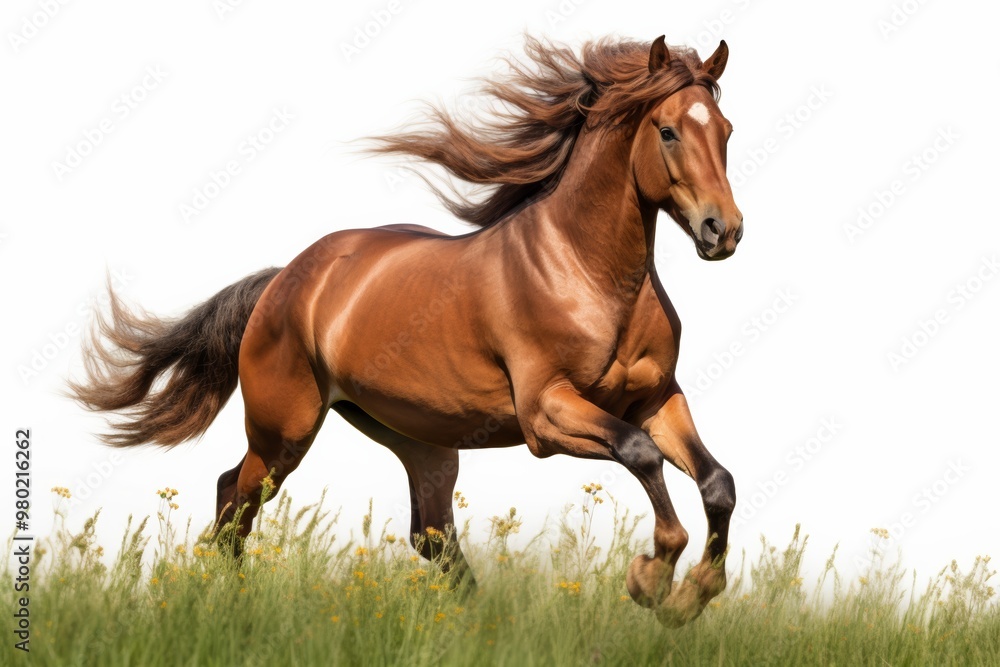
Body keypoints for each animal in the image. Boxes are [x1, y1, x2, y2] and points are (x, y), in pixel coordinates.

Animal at [71, 35, 743, 627]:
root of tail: (284, 279)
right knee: (234, 497)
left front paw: (691, 597)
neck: (587, 272)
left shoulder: (658, 400)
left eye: (727, 130)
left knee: (429, 535)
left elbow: (717, 482)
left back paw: (480, 624)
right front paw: (651, 578)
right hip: (284, 432)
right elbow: (640, 453)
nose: (724, 231)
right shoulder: (546, 414)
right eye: (667, 130)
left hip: (420, 438)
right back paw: (225, 604)